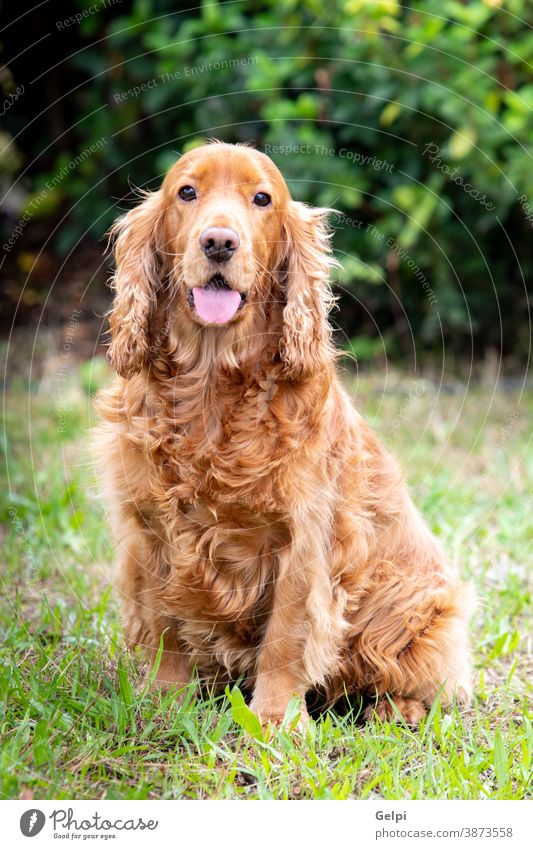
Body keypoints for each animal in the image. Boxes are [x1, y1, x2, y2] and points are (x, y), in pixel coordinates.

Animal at [94, 142, 470, 724]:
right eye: (187, 192)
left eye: (262, 199)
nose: (219, 242)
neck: (212, 387)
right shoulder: (152, 527)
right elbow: (166, 625)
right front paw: (164, 703)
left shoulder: (303, 540)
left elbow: (286, 639)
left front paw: (274, 721)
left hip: (422, 614)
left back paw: (397, 709)